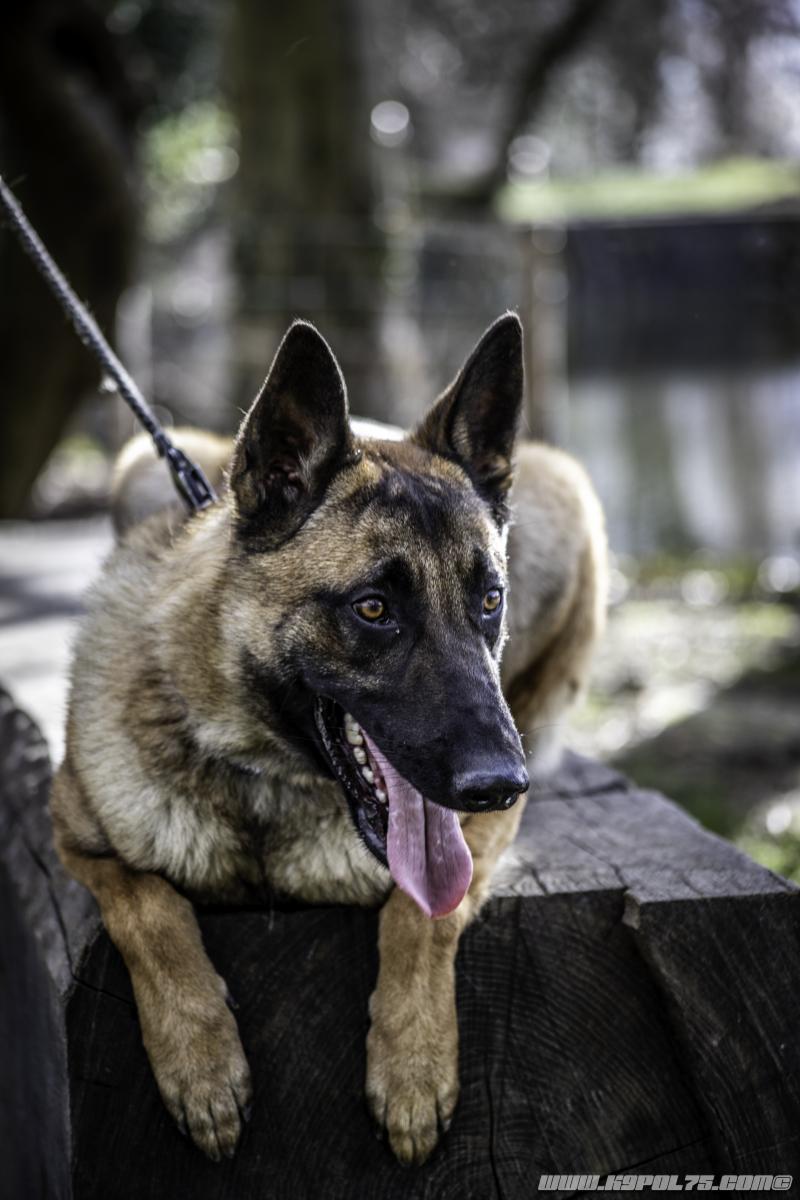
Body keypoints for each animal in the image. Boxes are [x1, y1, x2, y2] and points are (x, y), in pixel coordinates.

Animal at [51, 313, 606, 1166]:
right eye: (373, 609)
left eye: (489, 600)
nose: (500, 783)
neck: (266, 784)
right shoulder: (75, 833)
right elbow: (148, 902)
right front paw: (200, 1061)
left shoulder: (482, 835)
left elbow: (425, 911)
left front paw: (412, 1065)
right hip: (137, 465)